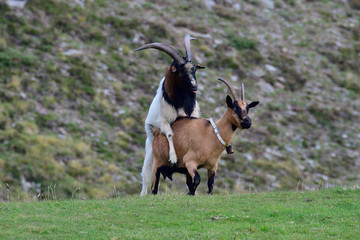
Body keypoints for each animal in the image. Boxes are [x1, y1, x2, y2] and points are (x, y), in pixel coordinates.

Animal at [136, 35, 205, 195]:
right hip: (150, 149)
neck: (179, 101)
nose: (194, 86)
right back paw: (143, 194)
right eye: (180, 71)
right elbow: (169, 134)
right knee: (147, 176)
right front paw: (173, 158)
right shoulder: (164, 120)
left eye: (194, 69)